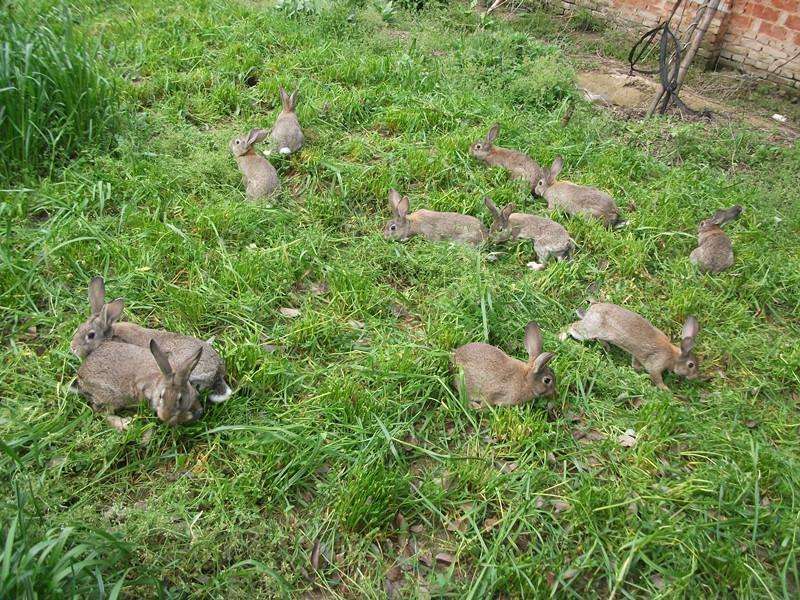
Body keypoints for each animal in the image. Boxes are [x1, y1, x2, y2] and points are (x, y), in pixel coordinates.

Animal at [77, 340, 205, 428]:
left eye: (181, 399)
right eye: (161, 396)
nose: (164, 416)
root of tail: (80, 374)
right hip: (109, 397)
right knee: (102, 413)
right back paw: (124, 424)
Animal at [564, 302, 700, 392]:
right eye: (691, 365)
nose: (695, 377)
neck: (673, 356)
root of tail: (592, 308)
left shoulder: (638, 355)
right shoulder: (657, 364)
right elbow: (656, 377)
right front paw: (666, 390)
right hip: (588, 331)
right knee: (571, 327)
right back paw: (561, 337)